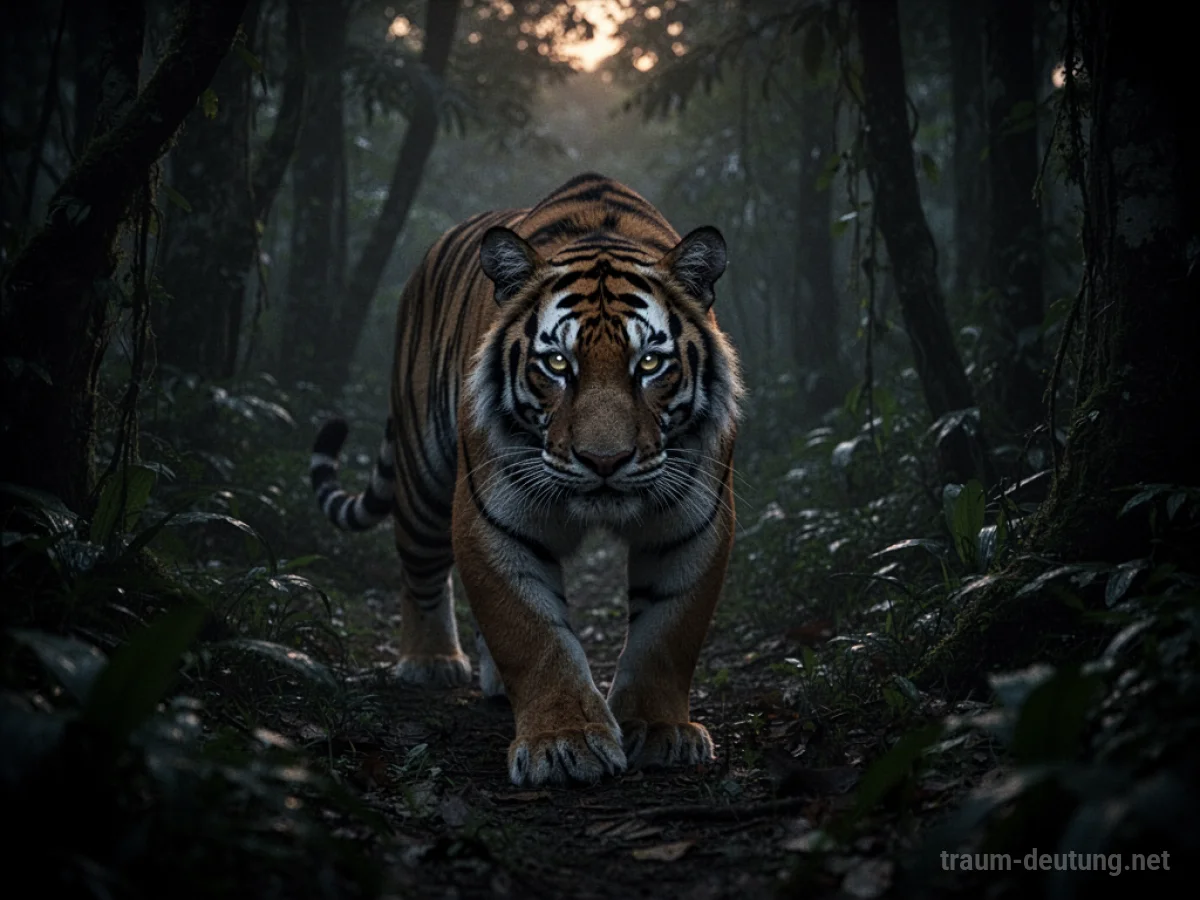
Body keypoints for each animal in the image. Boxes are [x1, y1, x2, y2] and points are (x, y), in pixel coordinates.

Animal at [309, 173, 742, 787]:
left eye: (649, 364)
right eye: (557, 365)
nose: (604, 460)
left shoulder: (694, 521)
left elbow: (668, 633)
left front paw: (660, 731)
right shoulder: (494, 516)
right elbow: (533, 632)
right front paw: (563, 742)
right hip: (423, 473)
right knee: (419, 565)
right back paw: (430, 661)